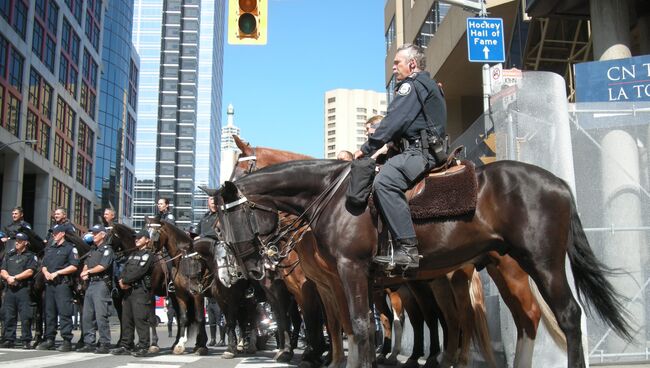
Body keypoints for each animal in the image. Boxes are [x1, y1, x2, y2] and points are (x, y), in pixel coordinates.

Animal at [215, 159, 632, 368]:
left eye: (229, 220)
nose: (249, 271)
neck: (332, 195)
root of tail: (558, 182)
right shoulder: (346, 280)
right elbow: (354, 328)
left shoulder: (349, 271)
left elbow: (360, 329)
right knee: (525, 318)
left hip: (541, 262)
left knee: (567, 315)